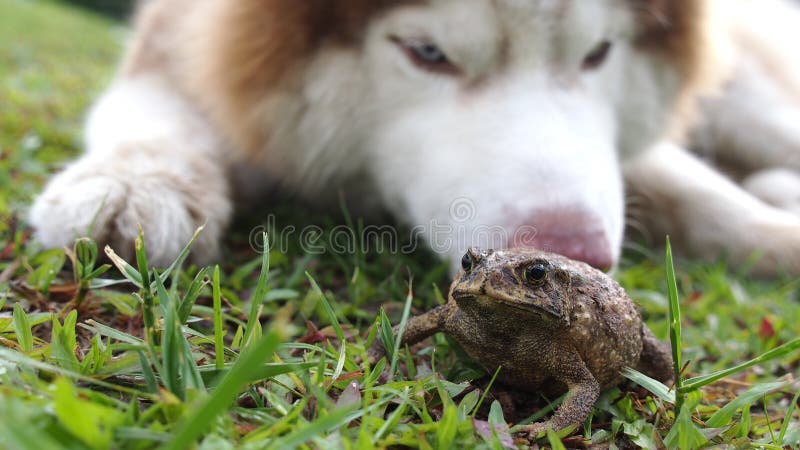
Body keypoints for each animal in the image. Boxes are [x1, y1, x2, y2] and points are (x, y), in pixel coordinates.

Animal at [29, 0, 800, 276]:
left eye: (598, 53)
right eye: (428, 53)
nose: (572, 257)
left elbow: (702, 196)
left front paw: (778, 237)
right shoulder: (180, 50)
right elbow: (152, 120)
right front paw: (135, 182)